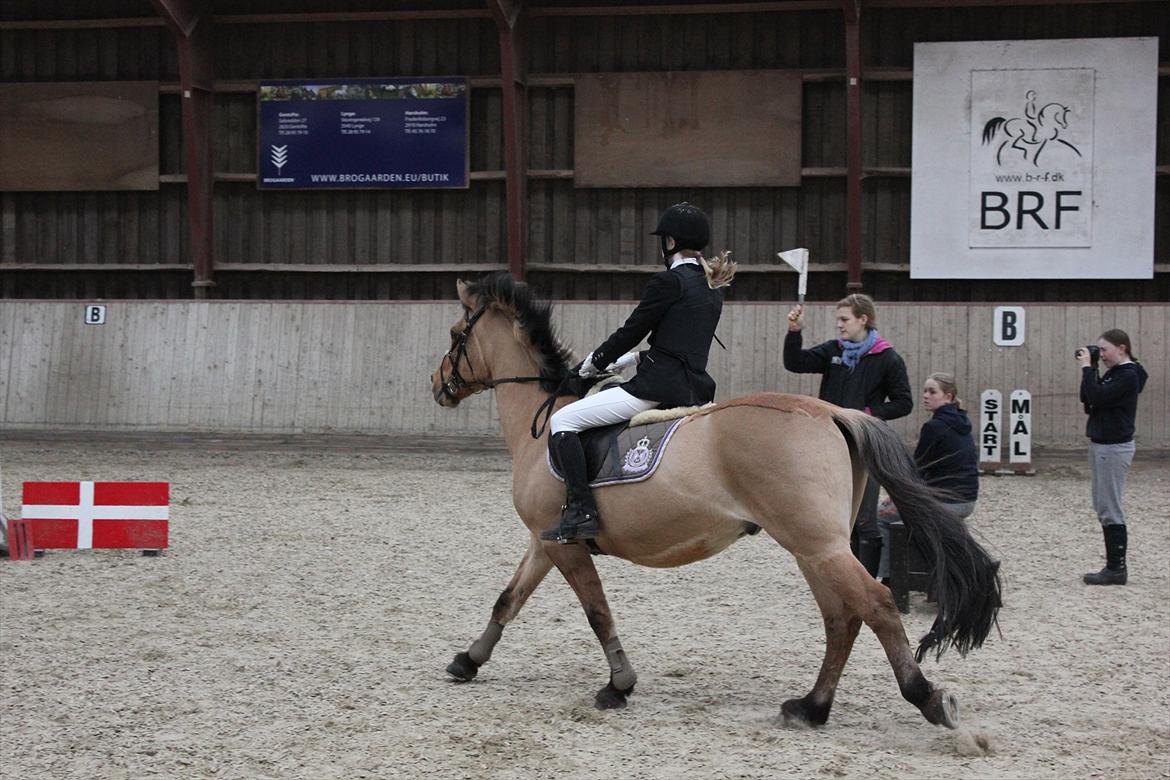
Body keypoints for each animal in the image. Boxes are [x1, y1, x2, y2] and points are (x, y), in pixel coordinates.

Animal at [435, 271, 1001, 729]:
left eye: (456, 334)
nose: (439, 386)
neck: (542, 426)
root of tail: (832, 411)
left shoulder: (565, 546)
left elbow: (597, 613)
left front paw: (618, 685)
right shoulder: (545, 541)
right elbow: (508, 599)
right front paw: (468, 660)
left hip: (817, 544)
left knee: (877, 604)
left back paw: (926, 697)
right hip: (814, 546)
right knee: (842, 617)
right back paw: (811, 707)